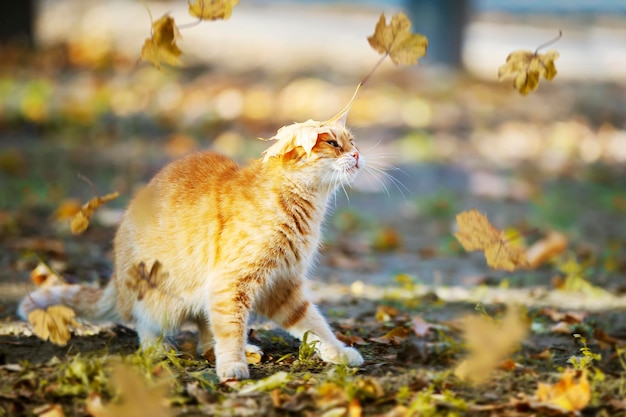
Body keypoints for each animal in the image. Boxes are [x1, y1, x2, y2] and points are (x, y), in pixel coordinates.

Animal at [19, 117, 364, 380]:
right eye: (333, 143)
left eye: (352, 142)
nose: (358, 155)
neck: (299, 206)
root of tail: (116, 277)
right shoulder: (232, 283)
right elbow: (231, 328)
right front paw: (232, 365)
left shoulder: (281, 287)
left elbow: (314, 323)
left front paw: (338, 351)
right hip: (159, 294)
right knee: (145, 325)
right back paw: (161, 348)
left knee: (205, 330)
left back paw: (238, 350)